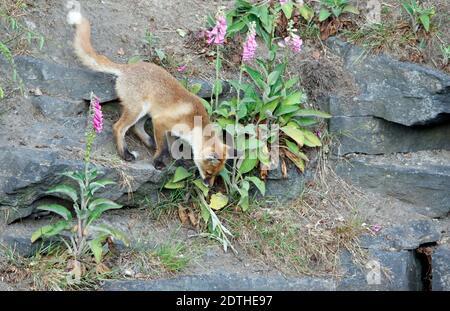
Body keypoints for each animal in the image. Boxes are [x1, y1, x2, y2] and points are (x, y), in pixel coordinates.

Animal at [66, 6, 229, 185]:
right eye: (209, 172)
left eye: (216, 174)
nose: (209, 186)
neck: (193, 122)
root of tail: (128, 68)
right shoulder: (160, 122)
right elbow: (164, 148)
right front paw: (158, 162)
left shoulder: (168, 129)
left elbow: (170, 147)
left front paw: (174, 159)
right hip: (138, 110)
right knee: (118, 127)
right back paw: (125, 154)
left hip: (145, 112)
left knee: (137, 128)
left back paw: (149, 143)